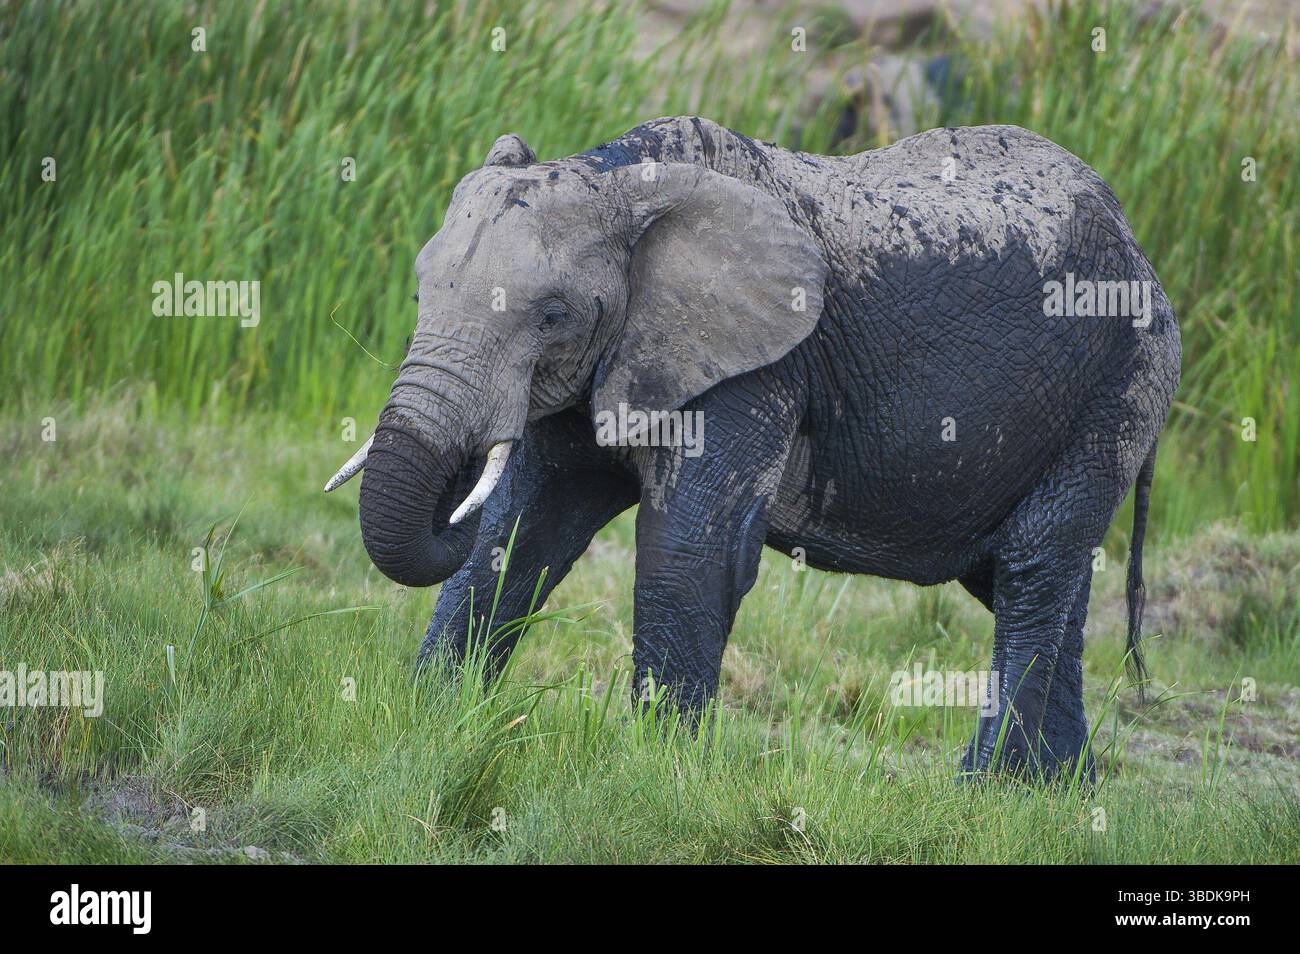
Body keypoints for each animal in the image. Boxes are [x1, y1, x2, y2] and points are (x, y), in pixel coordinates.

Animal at [326, 116, 1181, 780]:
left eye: (551, 314)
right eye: (420, 292)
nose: (458, 477)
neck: (619, 176)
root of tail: (1142, 251)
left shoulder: (759, 365)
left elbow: (687, 552)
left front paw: (657, 773)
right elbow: (517, 533)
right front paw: (430, 721)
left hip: (1122, 384)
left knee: (1033, 567)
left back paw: (984, 789)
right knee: (1026, 578)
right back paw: (1058, 793)